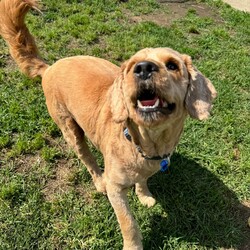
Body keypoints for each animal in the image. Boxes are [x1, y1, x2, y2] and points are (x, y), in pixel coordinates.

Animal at [0, 0, 216, 249]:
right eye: (133, 66)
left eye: (172, 65)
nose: (143, 68)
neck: (145, 143)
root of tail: (49, 67)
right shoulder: (116, 189)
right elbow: (128, 222)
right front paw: (133, 245)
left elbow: (142, 181)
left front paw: (144, 195)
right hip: (70, 129)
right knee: (87, 158)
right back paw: (98, 180)